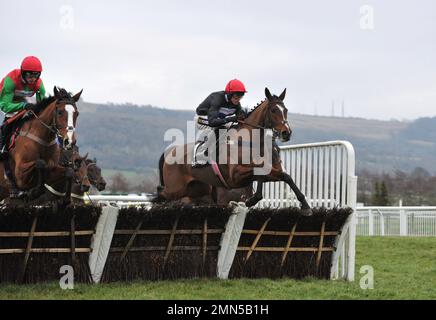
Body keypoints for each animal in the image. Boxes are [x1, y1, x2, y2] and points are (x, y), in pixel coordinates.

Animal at [157, 87, 314, 215]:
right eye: (273, 110)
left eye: (285, 110)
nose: (286, 133)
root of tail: (169, 152)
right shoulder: (236, 176)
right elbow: (268, 175)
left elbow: (285, 177)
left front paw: (306, 206)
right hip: (175, 188)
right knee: (161, 193)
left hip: (198, 188)